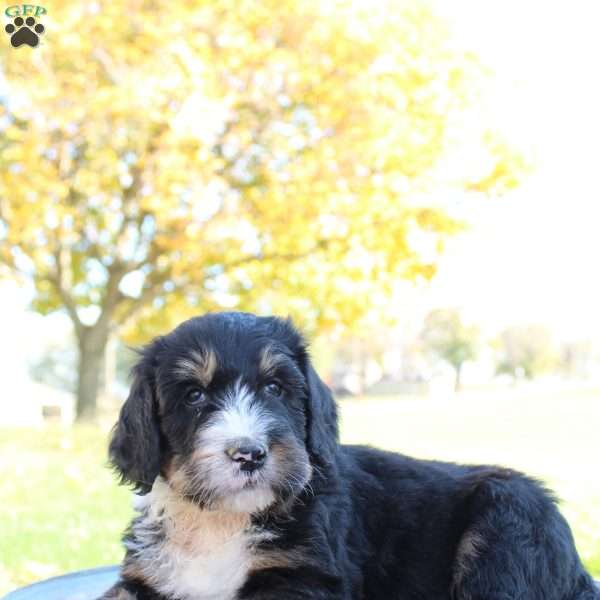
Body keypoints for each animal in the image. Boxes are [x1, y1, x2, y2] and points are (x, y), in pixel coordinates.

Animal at [101, 312, 596, 596]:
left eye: (275, 388)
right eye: (194, 396)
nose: (249, 454)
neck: (220, 522)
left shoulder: (302, 579)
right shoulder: (146, 577)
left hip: (507, 522)